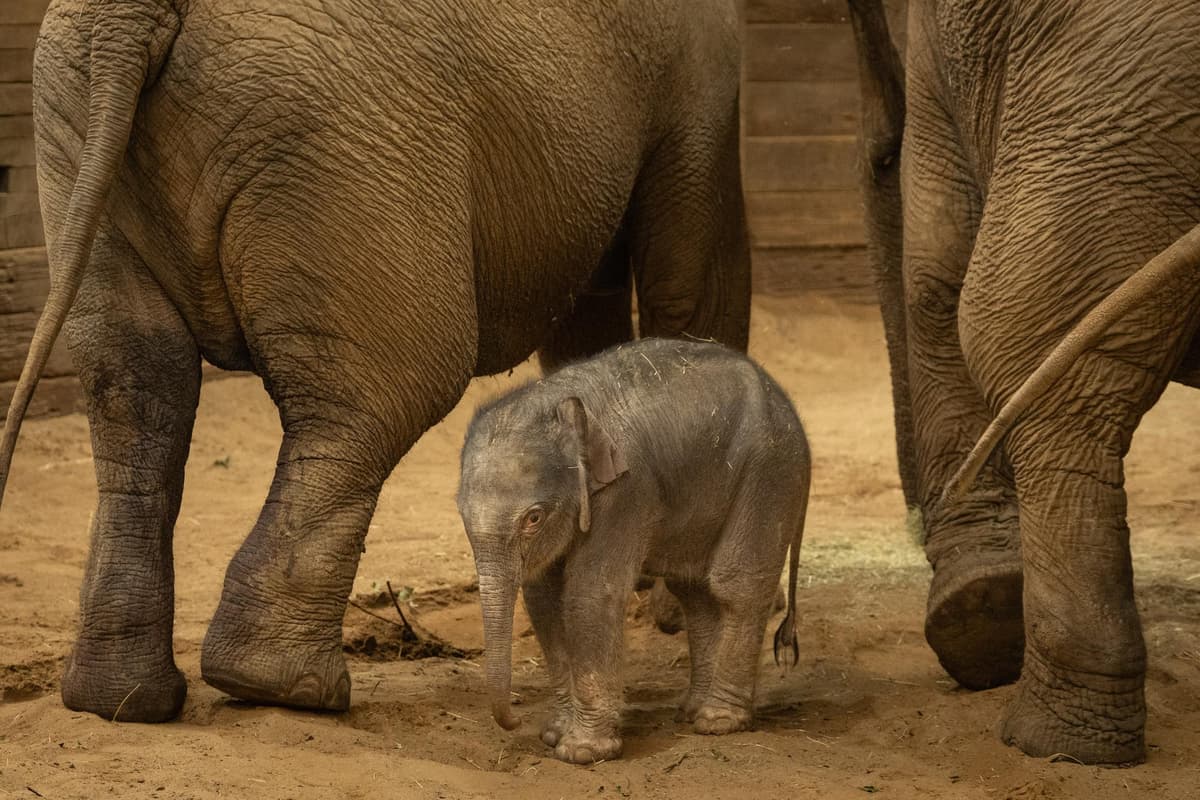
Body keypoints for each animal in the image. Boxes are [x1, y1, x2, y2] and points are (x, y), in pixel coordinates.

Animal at [0, 0, 751, 724]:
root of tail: (128, 15)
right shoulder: (698, 70)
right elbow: (690, 279)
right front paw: (671, 606)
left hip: (79, 132)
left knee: (139, 388)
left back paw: (124, 701)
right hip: (334, 151)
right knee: (387, 392)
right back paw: (289, 689)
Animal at [456, 338, 810, 764]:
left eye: (534, 518)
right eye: (461, 513)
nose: (516, 720)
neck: (559, 403)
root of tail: (787, 402)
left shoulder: (626, 491)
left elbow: (589, 595)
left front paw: (581, 751)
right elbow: (542, 599)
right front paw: (555, 733)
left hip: (770, 472)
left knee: (736, 586)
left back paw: (718, 721)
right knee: (694, 591)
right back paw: (691, 710)